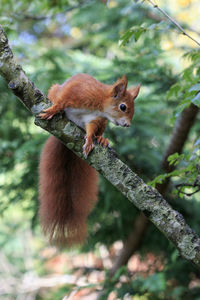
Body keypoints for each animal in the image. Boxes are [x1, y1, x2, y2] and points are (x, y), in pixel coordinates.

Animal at [38, 74, 140, 247]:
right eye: (123, 107)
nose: (127, 125)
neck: (99, 104)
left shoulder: (95, 119)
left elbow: (91, 129)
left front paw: (90, 141)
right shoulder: (74, 92)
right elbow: (61, 102)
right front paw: (51, 110)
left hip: (102, 124)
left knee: (98, 132)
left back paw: (102, 139)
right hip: (55, 89)